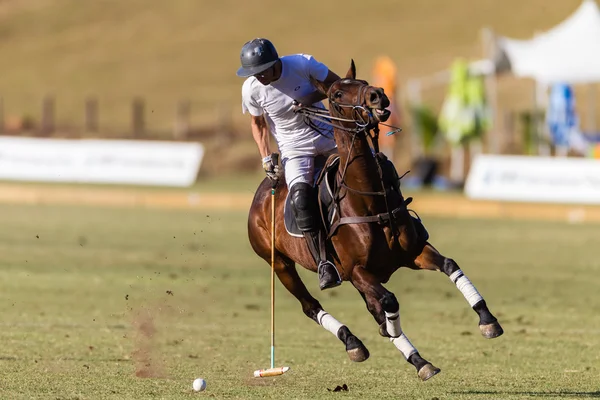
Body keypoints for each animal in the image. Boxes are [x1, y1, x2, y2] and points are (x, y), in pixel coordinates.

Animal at [246, 59, 504, 382]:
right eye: (336, 94)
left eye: (363, 83)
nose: (378, 95)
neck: (368, 196)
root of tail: (261, 192)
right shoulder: (356, 270)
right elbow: (389, 301)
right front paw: (392, 331)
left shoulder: (412, 252)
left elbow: (449, 265)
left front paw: (487, 320)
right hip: (279, 263)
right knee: (310, 305)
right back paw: (354, 343)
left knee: (370, 305)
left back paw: (411, 355)